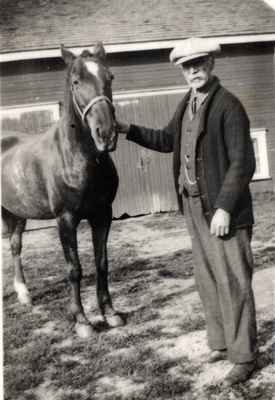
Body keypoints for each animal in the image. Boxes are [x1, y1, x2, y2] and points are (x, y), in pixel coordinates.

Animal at [1, 42, 125, 338]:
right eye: (76, 82)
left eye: (110, 77)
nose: (106, 134)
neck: (79, 159)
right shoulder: (66, 220)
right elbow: (74, 269)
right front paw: (82, 321)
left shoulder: (103, 215)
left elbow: (101, 263)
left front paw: (110, 313)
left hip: (17, 214)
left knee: (15, 246)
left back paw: (24, 294)